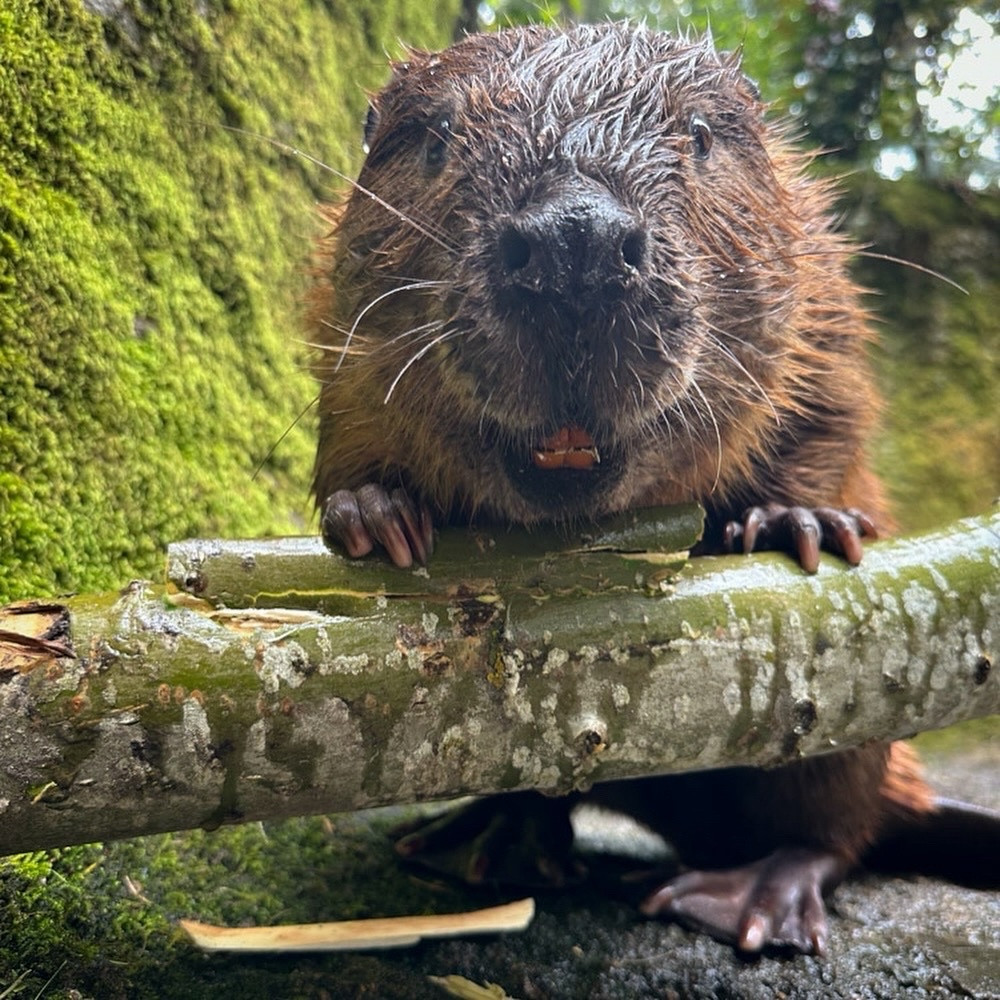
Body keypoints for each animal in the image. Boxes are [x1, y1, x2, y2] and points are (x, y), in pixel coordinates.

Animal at [308, 25, 996, 952]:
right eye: (436, 136)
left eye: (699, 135)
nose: (575, 242)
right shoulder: (339, 323)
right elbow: (344, 425)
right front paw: (376, 514)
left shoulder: (819, 277)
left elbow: (831, 407)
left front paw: (800, 521)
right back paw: (484, 840)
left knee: (834, 829)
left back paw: (744, 897)